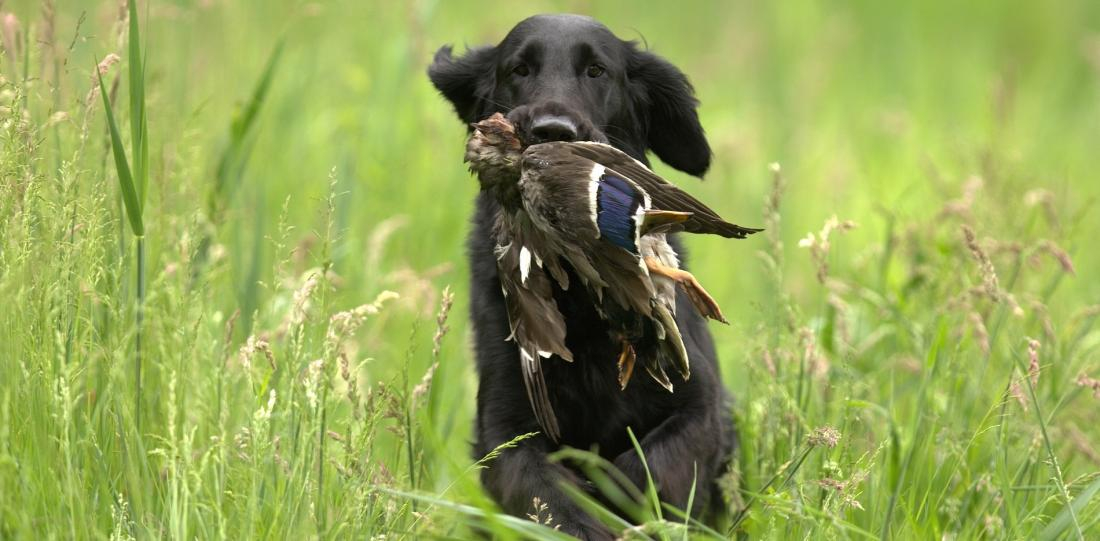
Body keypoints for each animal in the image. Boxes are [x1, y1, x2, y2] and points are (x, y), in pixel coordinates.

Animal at [433, 14, 734, 538]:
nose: (552, 131)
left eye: (597, 70)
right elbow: (549, 497)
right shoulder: (504, 429)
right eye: (519, 69)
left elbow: (646, 470)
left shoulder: (700, 405)